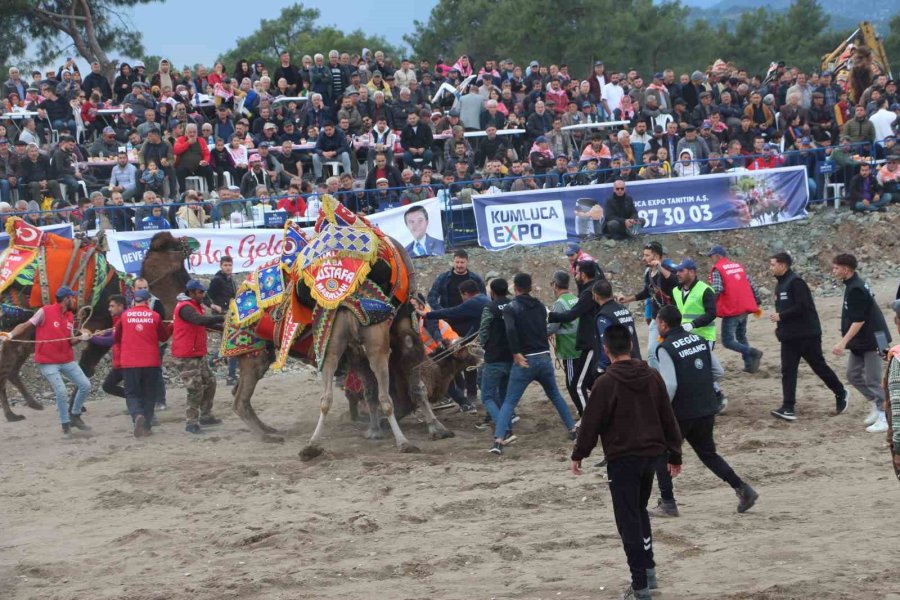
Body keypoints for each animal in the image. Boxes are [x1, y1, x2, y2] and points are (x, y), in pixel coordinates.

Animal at [0, 217, 190, 422]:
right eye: (175, 247)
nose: (189, 242)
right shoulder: (98, 330)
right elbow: (86, 367)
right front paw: (74, 410)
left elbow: (86, 368)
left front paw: (76, 408)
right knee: (6, 366)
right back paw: (11, 414)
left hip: (27, 335)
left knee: (13, 367)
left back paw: (32, 404)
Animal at [221, 195, 454, 458]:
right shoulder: (393, 339)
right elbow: (404, 388)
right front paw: (434, 427)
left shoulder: (358, 348)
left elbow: (373, 389)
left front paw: (376, 429)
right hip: (256, 353)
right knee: (241, 400)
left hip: (306, 348)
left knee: (318, 398)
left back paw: (299, 441)